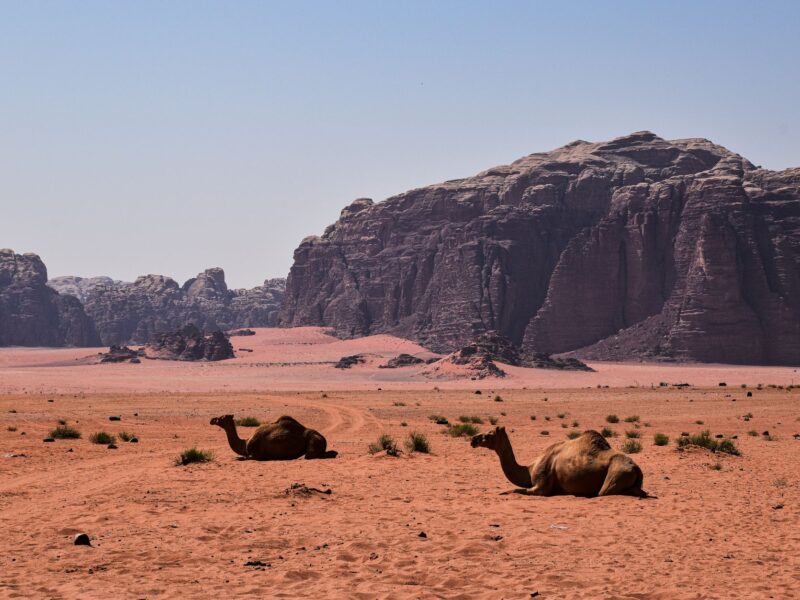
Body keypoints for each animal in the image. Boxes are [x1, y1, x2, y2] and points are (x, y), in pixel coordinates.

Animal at [471, 426, 646, 497]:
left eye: (489, 434)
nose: (473, 439)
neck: (529, 468)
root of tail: (637, 468)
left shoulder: (541, 487)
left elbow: (514, 490)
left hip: (616, 473)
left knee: (606, 491)